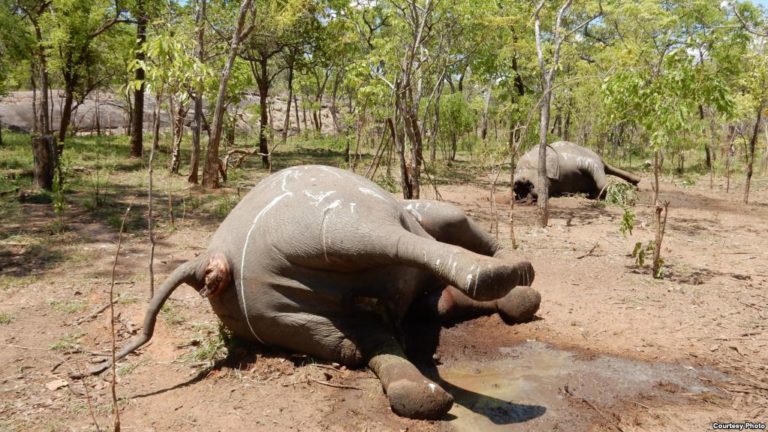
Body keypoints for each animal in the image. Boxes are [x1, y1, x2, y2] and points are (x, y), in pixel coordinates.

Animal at [79, 165, 540, 418]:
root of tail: (214, 259)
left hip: (300, 305)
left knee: (371, 336)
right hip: (322, 227)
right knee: (388, 248)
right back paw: (507, 276)